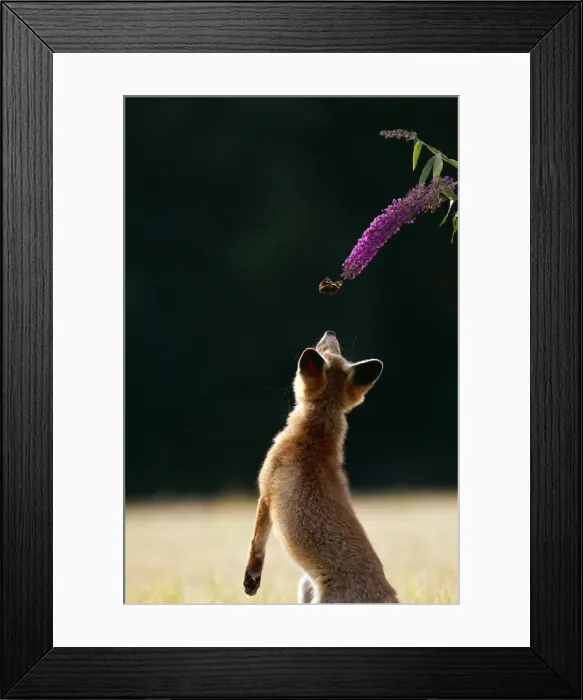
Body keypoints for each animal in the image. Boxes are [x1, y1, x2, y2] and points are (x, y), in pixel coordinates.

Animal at [243, 330, 399, 604]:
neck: (313, 436)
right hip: (305, 587)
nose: (330, 333)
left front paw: (251, 580)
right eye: (330, 350)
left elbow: (256, 544)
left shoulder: (266, 493)